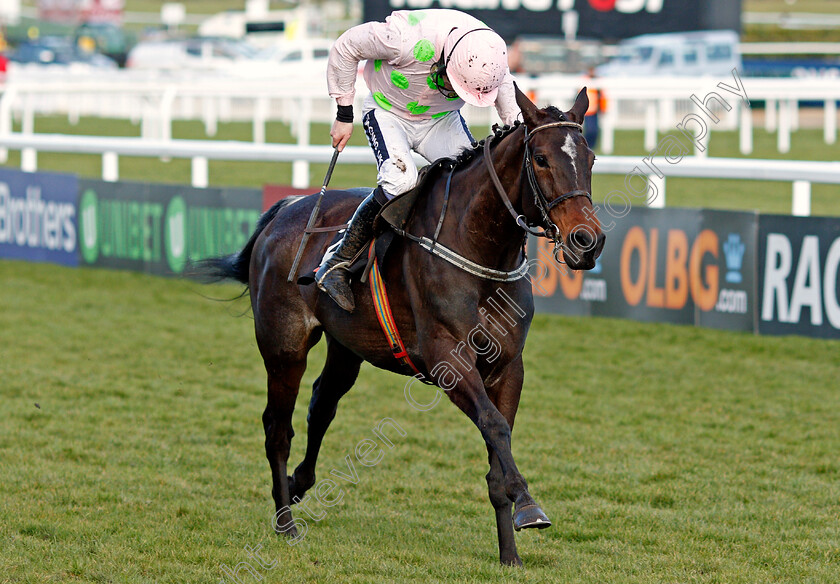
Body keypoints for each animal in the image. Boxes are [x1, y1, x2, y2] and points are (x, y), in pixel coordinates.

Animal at [200, 86, 608, 564]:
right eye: (541, 158)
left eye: (591, 158)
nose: (587, 240)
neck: (479, 249)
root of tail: (285, 209)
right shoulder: (449, 359)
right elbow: (494, 426)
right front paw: (528, 504)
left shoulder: (508, 365)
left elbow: (498, 448)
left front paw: (510, 552)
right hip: (284, 347)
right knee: (277, 428)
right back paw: (286, 522)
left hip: (347, 346)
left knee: (323, 404)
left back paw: (300, 484)